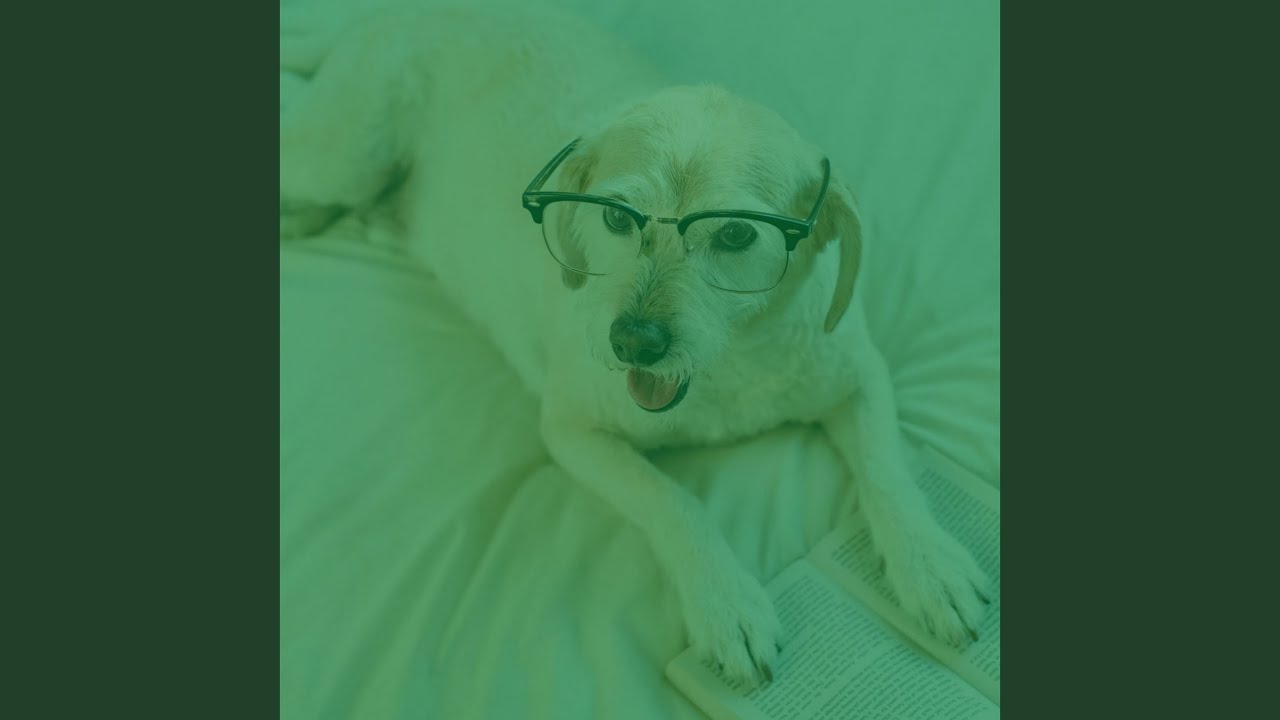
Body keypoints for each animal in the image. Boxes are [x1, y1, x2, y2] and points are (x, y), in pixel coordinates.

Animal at [280, 1, 990, 688]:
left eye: (737, 234)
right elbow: (672, 500)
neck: (726, 371)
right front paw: (725, 602)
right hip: (340, 156)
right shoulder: (572, 433)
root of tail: (396, 12)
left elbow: (888, 470)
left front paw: (929, 563)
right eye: (616, 217)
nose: (633, 341)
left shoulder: (860, 376)